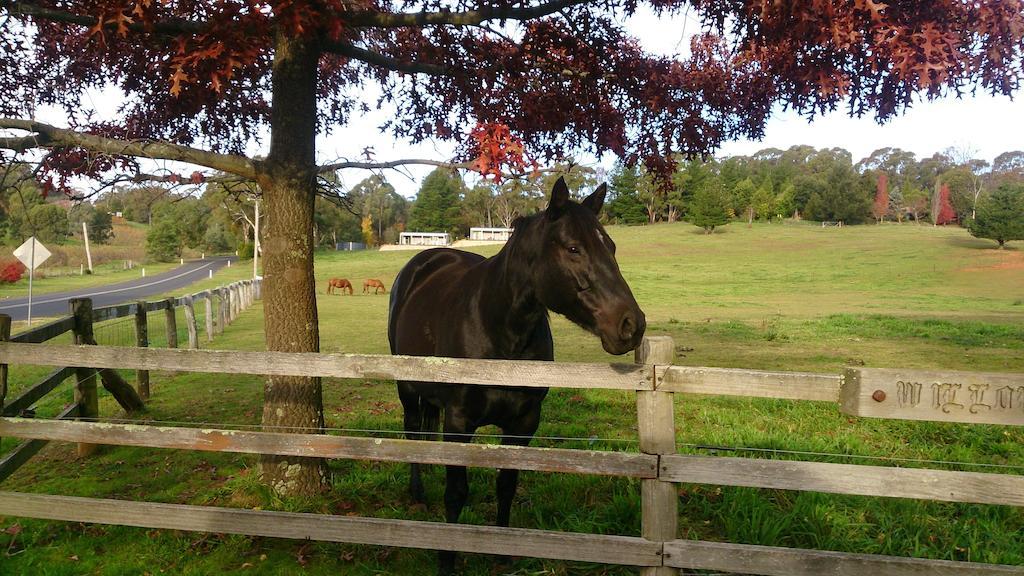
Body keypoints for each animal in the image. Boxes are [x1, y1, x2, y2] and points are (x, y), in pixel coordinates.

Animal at [387, 177, 643, 569]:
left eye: (611, 247)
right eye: (573, 248)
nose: (631, 325)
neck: (499, 332)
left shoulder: (524, 423)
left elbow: (506, 484)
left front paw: (503, 553)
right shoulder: (458, 422)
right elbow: (456, 492)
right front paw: (447, 557)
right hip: (407, 387)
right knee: (413, 430)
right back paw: (416, 490)